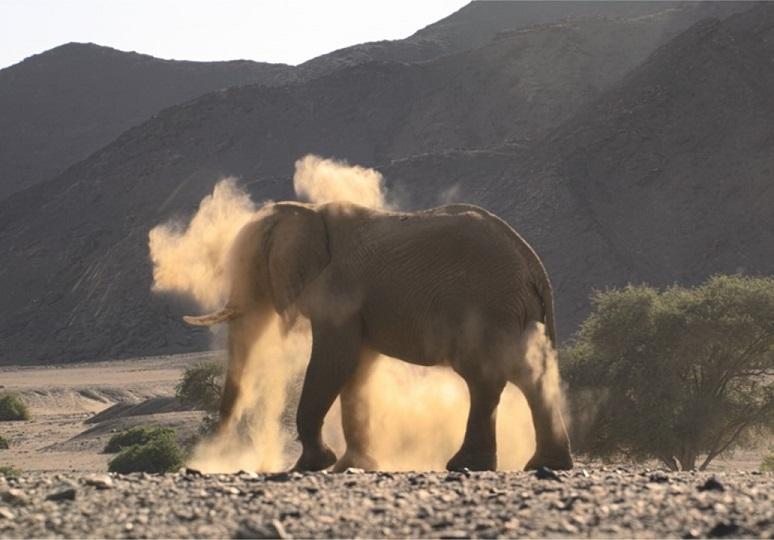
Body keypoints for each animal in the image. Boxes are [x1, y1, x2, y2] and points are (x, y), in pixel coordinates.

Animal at [184, 201, 573, 472]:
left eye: (249, 269)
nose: (212, 456)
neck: (308, 213)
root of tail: (533, 265)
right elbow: (357, 371)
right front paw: (351, 467)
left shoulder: (339, 295)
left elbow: (333, 364)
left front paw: (314, 464)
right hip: (509, 310)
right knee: (524, 375)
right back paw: (544, 465)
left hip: (488, 306)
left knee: (487, 376)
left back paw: (467, 465)